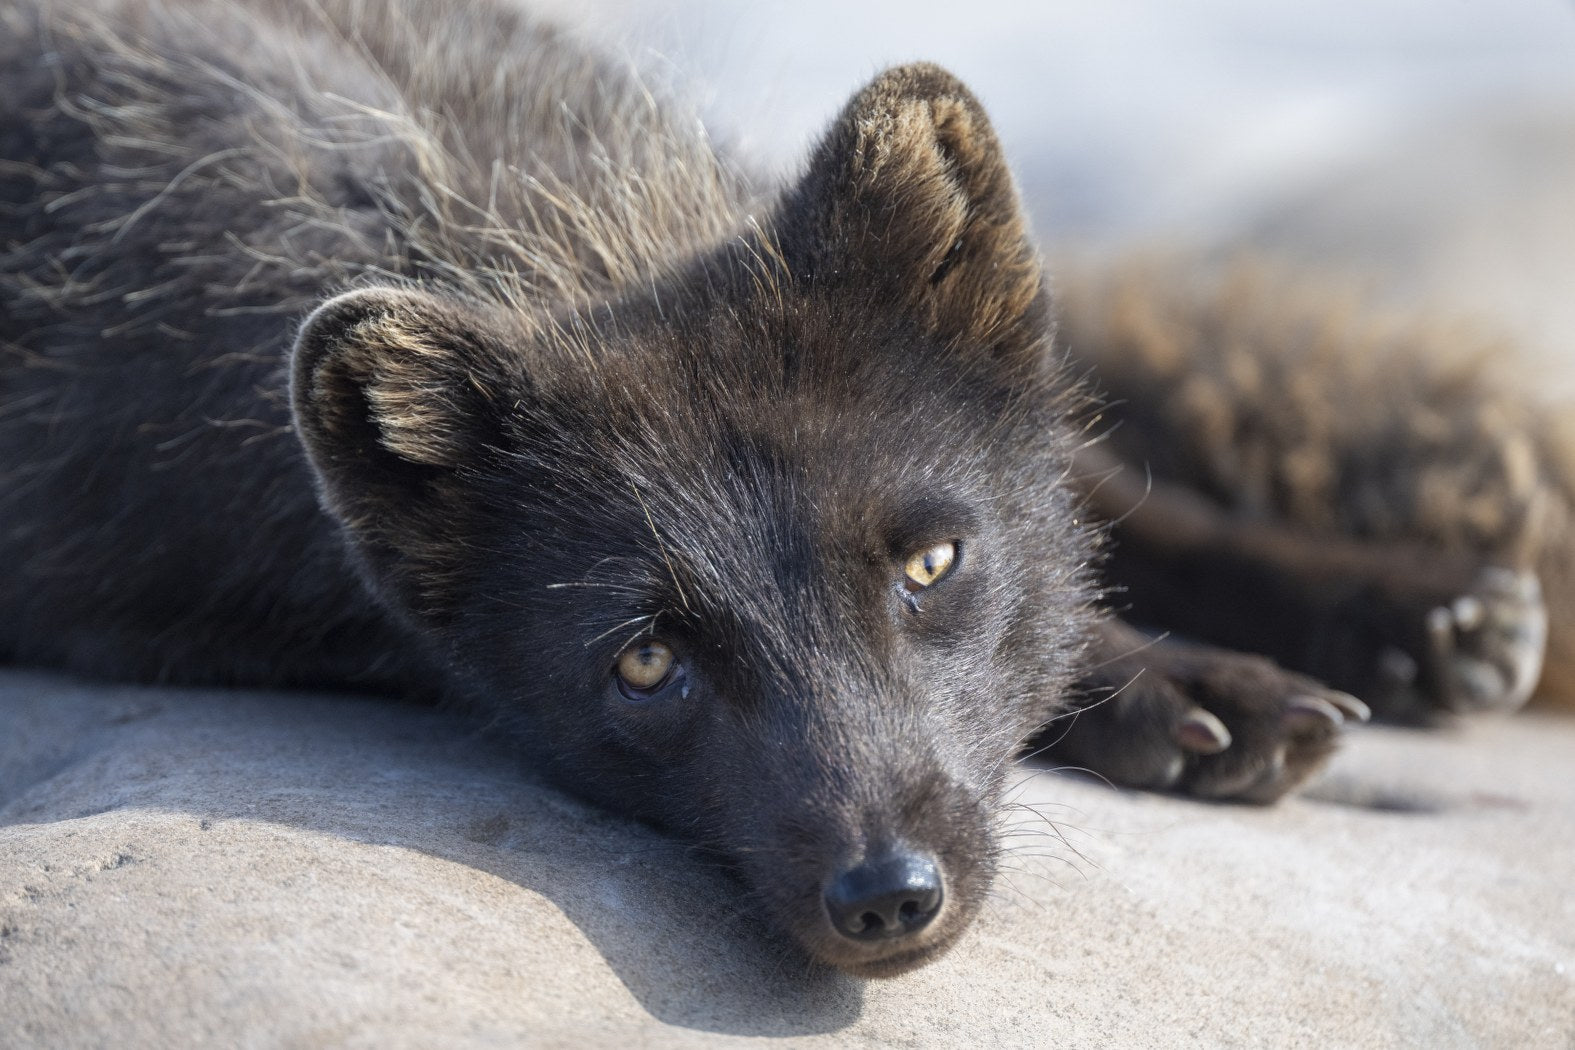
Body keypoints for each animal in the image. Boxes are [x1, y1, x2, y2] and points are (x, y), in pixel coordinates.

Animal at [0, 0, 1565, 977]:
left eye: (930, 564)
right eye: (645, 662)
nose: (886, 898)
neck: (536, 219)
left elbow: (1112, 502)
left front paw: (1414, 613)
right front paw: (1189, 692)